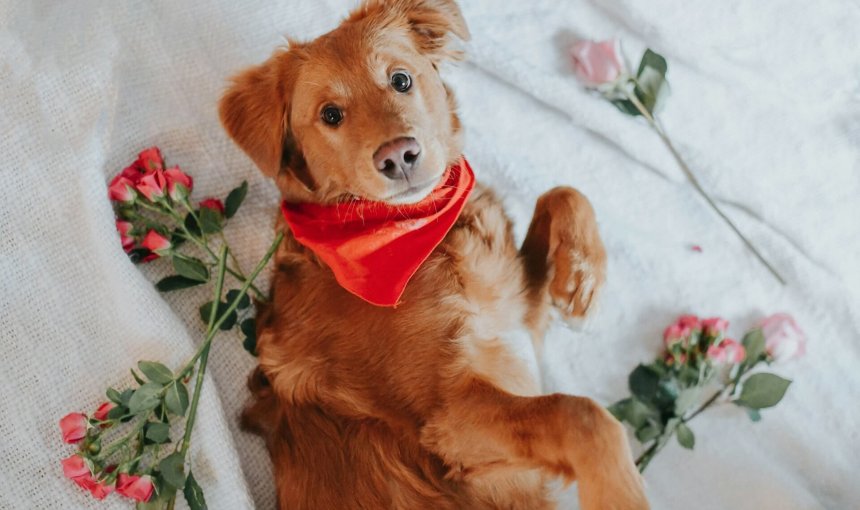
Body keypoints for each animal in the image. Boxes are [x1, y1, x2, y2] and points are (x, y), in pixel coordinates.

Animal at [218, 0, 648, 510]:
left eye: (401, 80)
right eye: (330, 115)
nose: (398, 156)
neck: (426, 232)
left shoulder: (521, 317)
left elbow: (564, 192)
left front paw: (581, 284)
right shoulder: (449, 419)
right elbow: (581, 415)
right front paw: (619, 493)